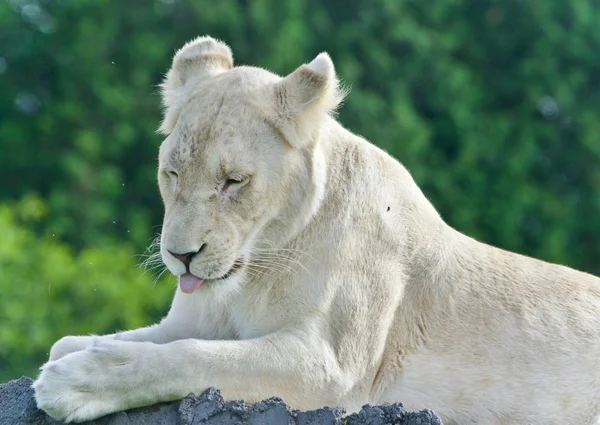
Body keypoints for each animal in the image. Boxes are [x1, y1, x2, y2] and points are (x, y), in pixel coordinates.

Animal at [34, 37, 600, 424]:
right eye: (172, 173)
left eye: (233, 181)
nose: (181, 256)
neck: (256, 271)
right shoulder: (193, 319)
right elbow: (113, 340)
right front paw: (73, 353)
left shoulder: (332, 370)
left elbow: (193, 357)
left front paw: (75, 381)